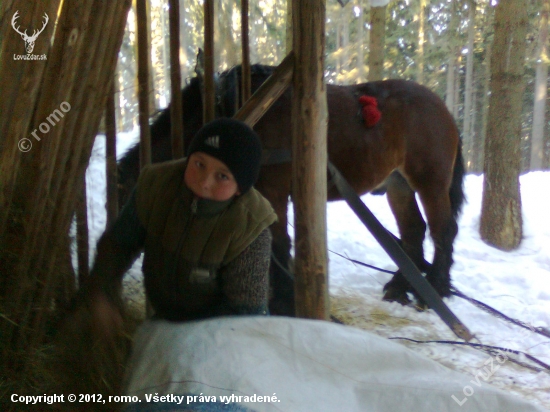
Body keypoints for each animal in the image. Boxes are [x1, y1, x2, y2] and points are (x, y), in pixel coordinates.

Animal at [117, 63, 466, 316]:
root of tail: (443, 109)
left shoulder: (273, 189)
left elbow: (280, 243)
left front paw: (285, 300)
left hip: (430, 182)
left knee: (442, 231)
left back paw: (435, 288)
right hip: (398, 186)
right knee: (413, 232)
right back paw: (400, 287)